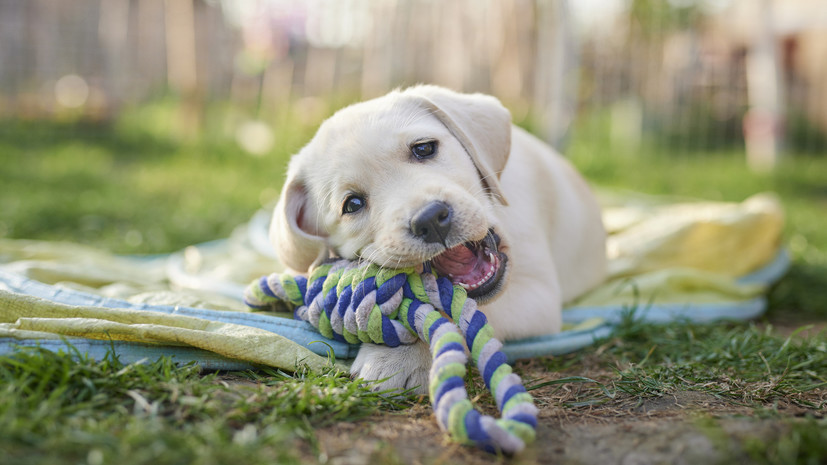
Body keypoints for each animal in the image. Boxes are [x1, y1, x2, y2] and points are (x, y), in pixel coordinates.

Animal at [272, 84, 608, 392]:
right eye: (352, 204)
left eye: (424, 149)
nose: (430, 220)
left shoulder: (539, 296)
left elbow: (453, 312)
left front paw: (400, 358)